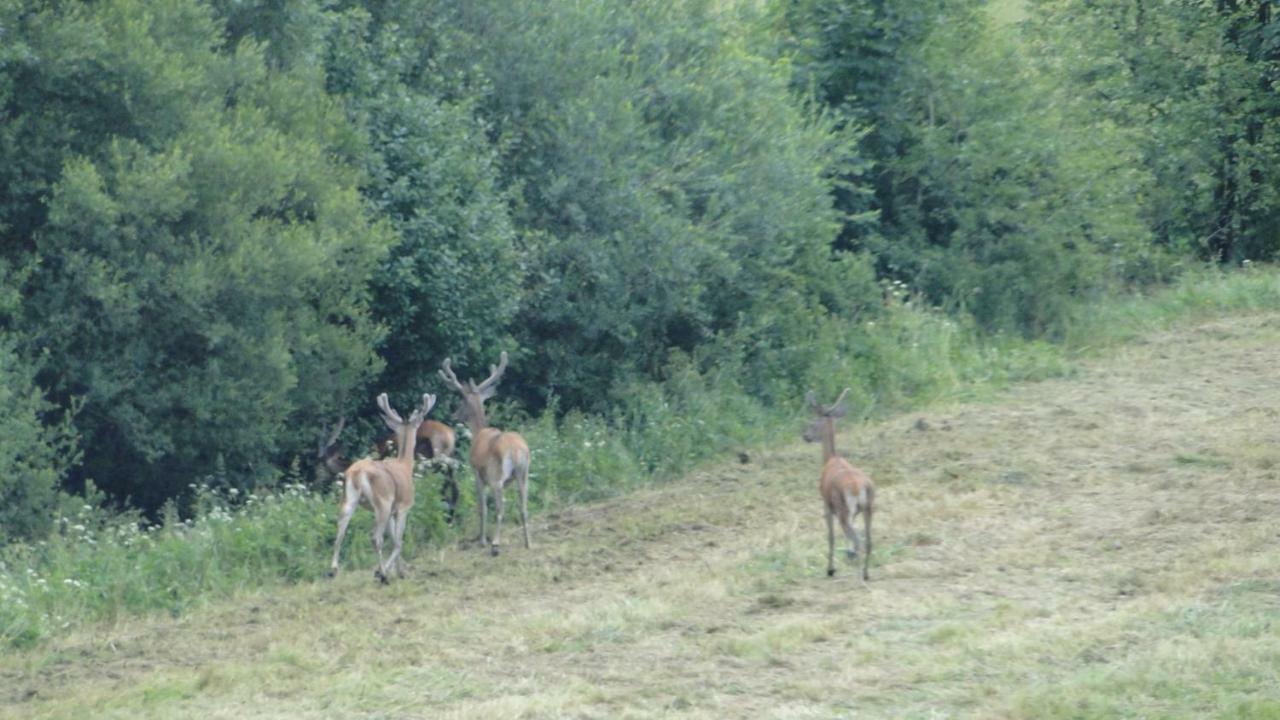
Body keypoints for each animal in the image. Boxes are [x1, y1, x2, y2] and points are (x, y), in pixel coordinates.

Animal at [330, 389, 435, 579]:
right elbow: (399, 541)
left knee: (340, 532)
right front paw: (392, 570)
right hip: (382, 501)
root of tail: (358, 473)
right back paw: (383, 574)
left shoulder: (393, 511)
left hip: (349, 500)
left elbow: (394, 539)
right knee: (375, 538)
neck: (405, 465)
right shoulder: (403, 507)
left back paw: (332, 570)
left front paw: (400, 570)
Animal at [440, 348, 529, 556]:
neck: (478, 432)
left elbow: (482, 506)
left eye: (461, 400)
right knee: (523, 506)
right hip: (524, 473)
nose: (453, 415)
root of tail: (516, 450)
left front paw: (481, 540)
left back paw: (495, 545)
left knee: (500, 507)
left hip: (498, 476)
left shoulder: (477, 473)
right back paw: (528, 542)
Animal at [803, 386, 875, 576]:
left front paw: (830, 568)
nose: (805, 436)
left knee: (858, 541)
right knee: (868, 541)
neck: (830, 459)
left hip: (842, 506)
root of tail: (858, 487)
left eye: (812, 423)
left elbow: (831, 537)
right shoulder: (854, 513)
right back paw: (865, 572)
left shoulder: (826, 504)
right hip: (868, 507)